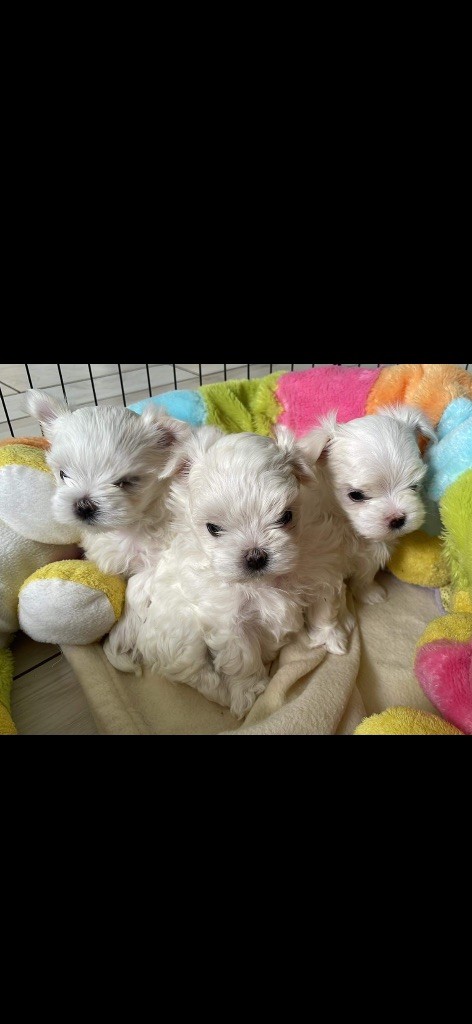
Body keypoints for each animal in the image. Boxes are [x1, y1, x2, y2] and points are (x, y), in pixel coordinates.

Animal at [103, 423, 341, 720]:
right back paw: (222, 693)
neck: (263, 582)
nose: (255, 555)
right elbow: (243, 658)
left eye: (286, 516)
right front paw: (249, 693)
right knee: (195, 674)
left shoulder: (319, 569)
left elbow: (323, 609)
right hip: (182, 638)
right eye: (213, 528)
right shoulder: (228, 622)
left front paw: (331, 640)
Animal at [298, 403, 436, 643]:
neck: (348, 527)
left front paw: (370, 593)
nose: (397, 519)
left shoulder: (372, 553)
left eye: (414, 486)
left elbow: (365, 575)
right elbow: (327, 604)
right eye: (356, 495)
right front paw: (332, 633)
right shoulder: (324, 568)